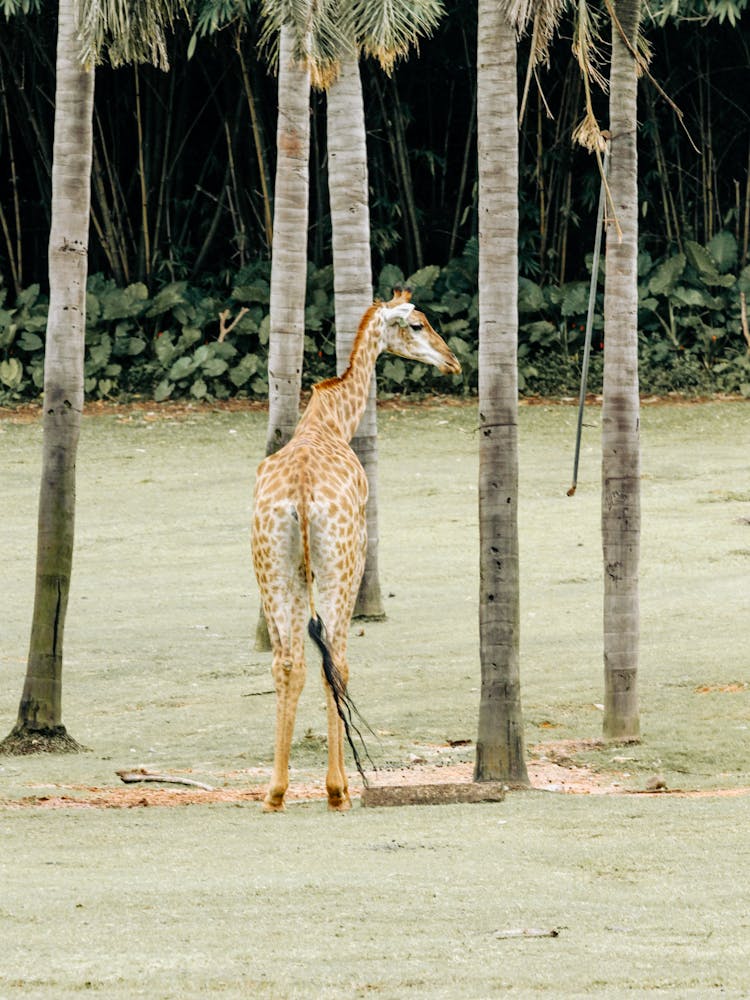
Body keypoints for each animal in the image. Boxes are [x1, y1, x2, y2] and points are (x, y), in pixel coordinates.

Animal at [253, 290, 464, 812]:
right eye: (417, 324)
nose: (452, 361)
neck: (331, 421)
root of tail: (301, 496)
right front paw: (340, 786)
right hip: (340, 568)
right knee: (336, 660)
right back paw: (337, 790)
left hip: (272, 568)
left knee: (287, 661)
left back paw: (275, 792)